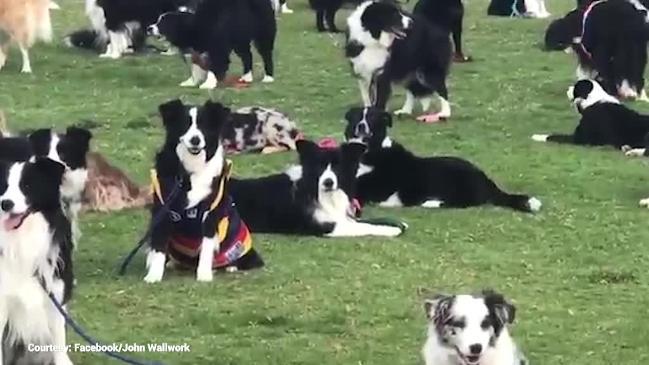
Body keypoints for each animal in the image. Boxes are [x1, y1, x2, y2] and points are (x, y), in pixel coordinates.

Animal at [144, 100, 264, 284]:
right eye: (185, 124)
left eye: (204, 125)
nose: (195, 140)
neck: (190, 172)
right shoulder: (163, 211)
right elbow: (158, 247)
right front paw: (154, 275)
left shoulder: (210, 215)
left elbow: (207, 248)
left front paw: (204, 275)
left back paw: (230, 266)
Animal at [147, 0, 276, 88]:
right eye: (157, 20)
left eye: (163, 23)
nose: (149, 28)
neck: (196, 25)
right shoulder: (198, 49)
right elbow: (196, 66)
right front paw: (191, 81)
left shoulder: (218, 48)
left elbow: (214, 66)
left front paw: (208, 83)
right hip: (239, 38)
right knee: (247, 55)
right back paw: (246, 77)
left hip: (263, 34)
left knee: (266, 54)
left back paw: (268, 77)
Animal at [228, 139, 404, 236]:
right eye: (319, 167)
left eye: (338, 167)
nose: (328, 182)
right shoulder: (326, 227)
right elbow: (363, 226)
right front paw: (391, 230)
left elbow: (361, 220)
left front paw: (397, 223)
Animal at [344, 106, 540, 212]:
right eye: (356, 117)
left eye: (372, 118)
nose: (361, 126)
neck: (371, 150)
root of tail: (487, 181)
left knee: (463, 202)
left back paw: (432, 203)